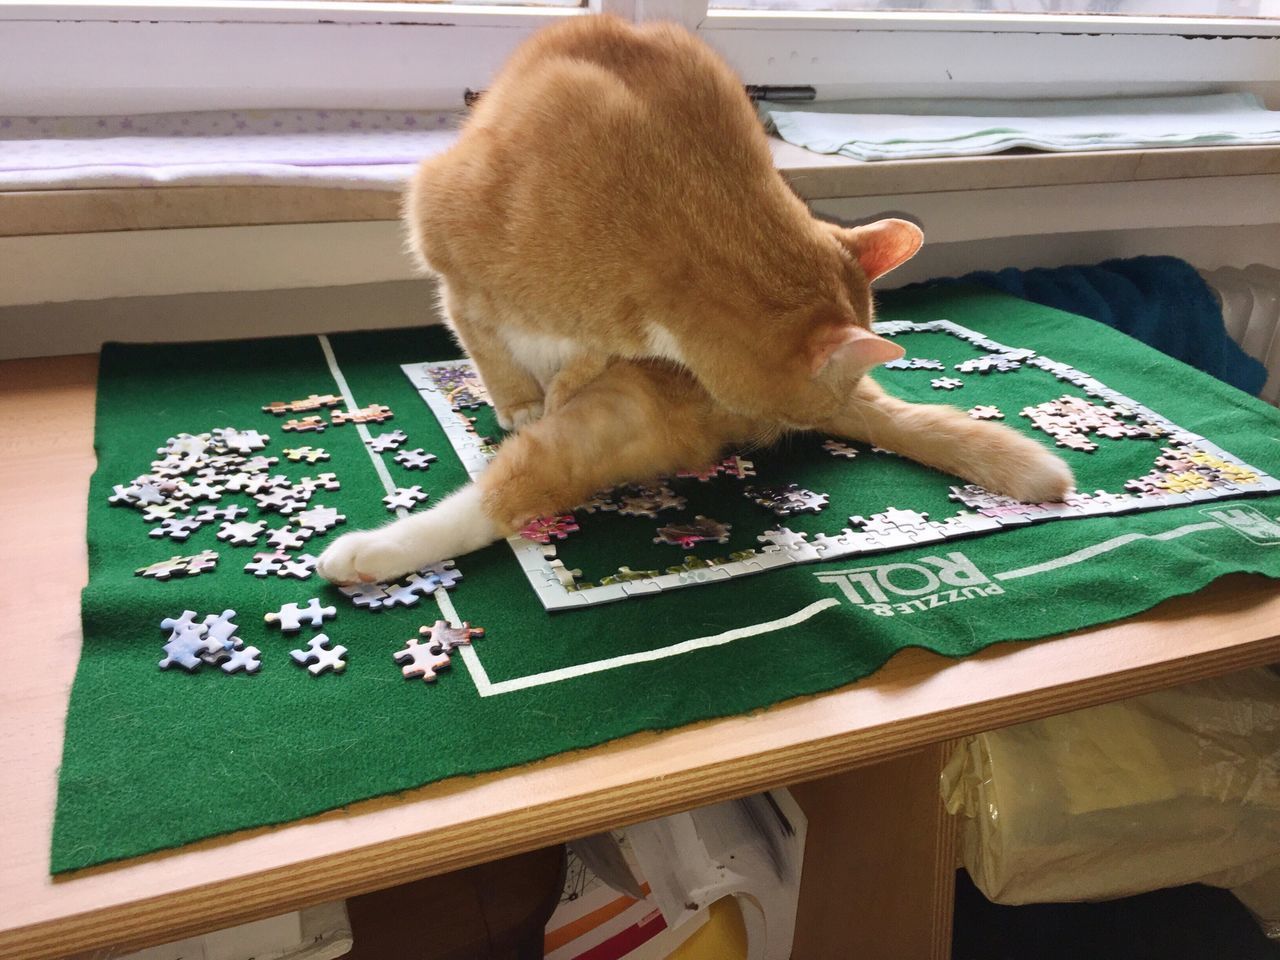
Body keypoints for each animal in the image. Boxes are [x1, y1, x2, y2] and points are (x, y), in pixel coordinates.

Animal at [317, 16, 1070, 586]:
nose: (786, 429)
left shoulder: (599, 348)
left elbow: (571, 366)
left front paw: (549, 391)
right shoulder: (453, 261)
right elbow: (486, 341)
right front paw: (518, 397)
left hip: (619, 420)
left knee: (517, 488)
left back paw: (366, 554)